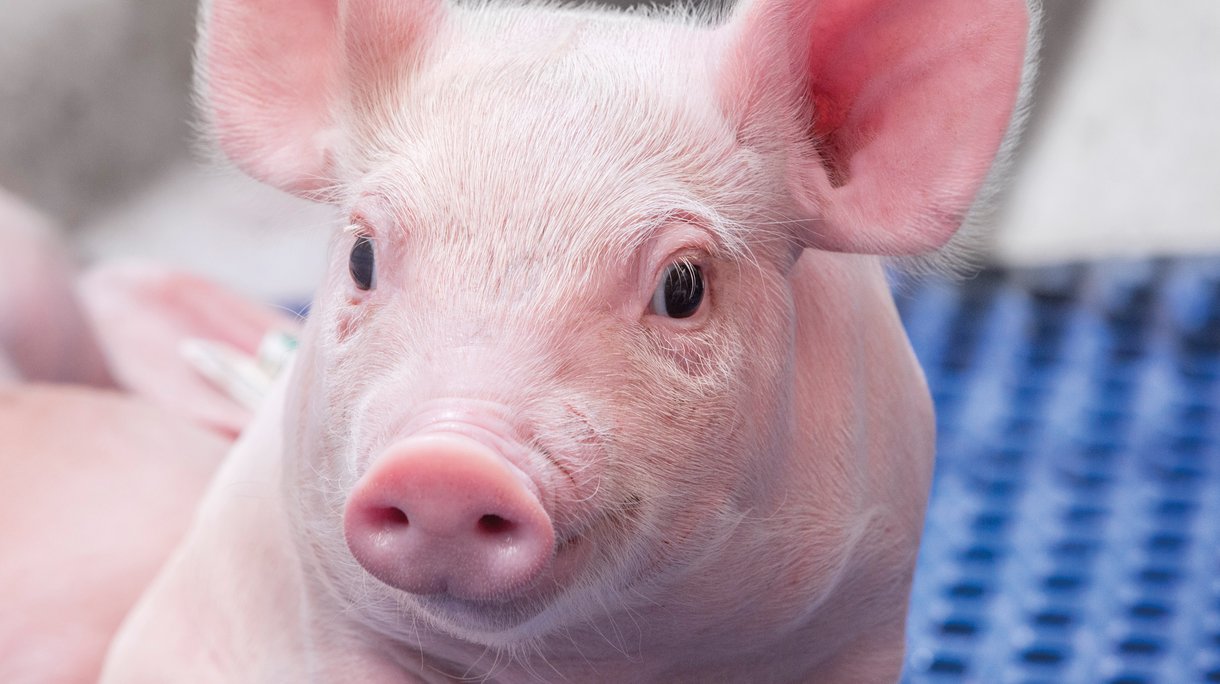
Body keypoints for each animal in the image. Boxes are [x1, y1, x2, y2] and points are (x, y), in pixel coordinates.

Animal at [102, 0, 1034, 680]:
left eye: (683, 285)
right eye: (363, 255)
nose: (447, 461)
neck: (585, 661)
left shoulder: (864, 608)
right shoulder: (334, 622)